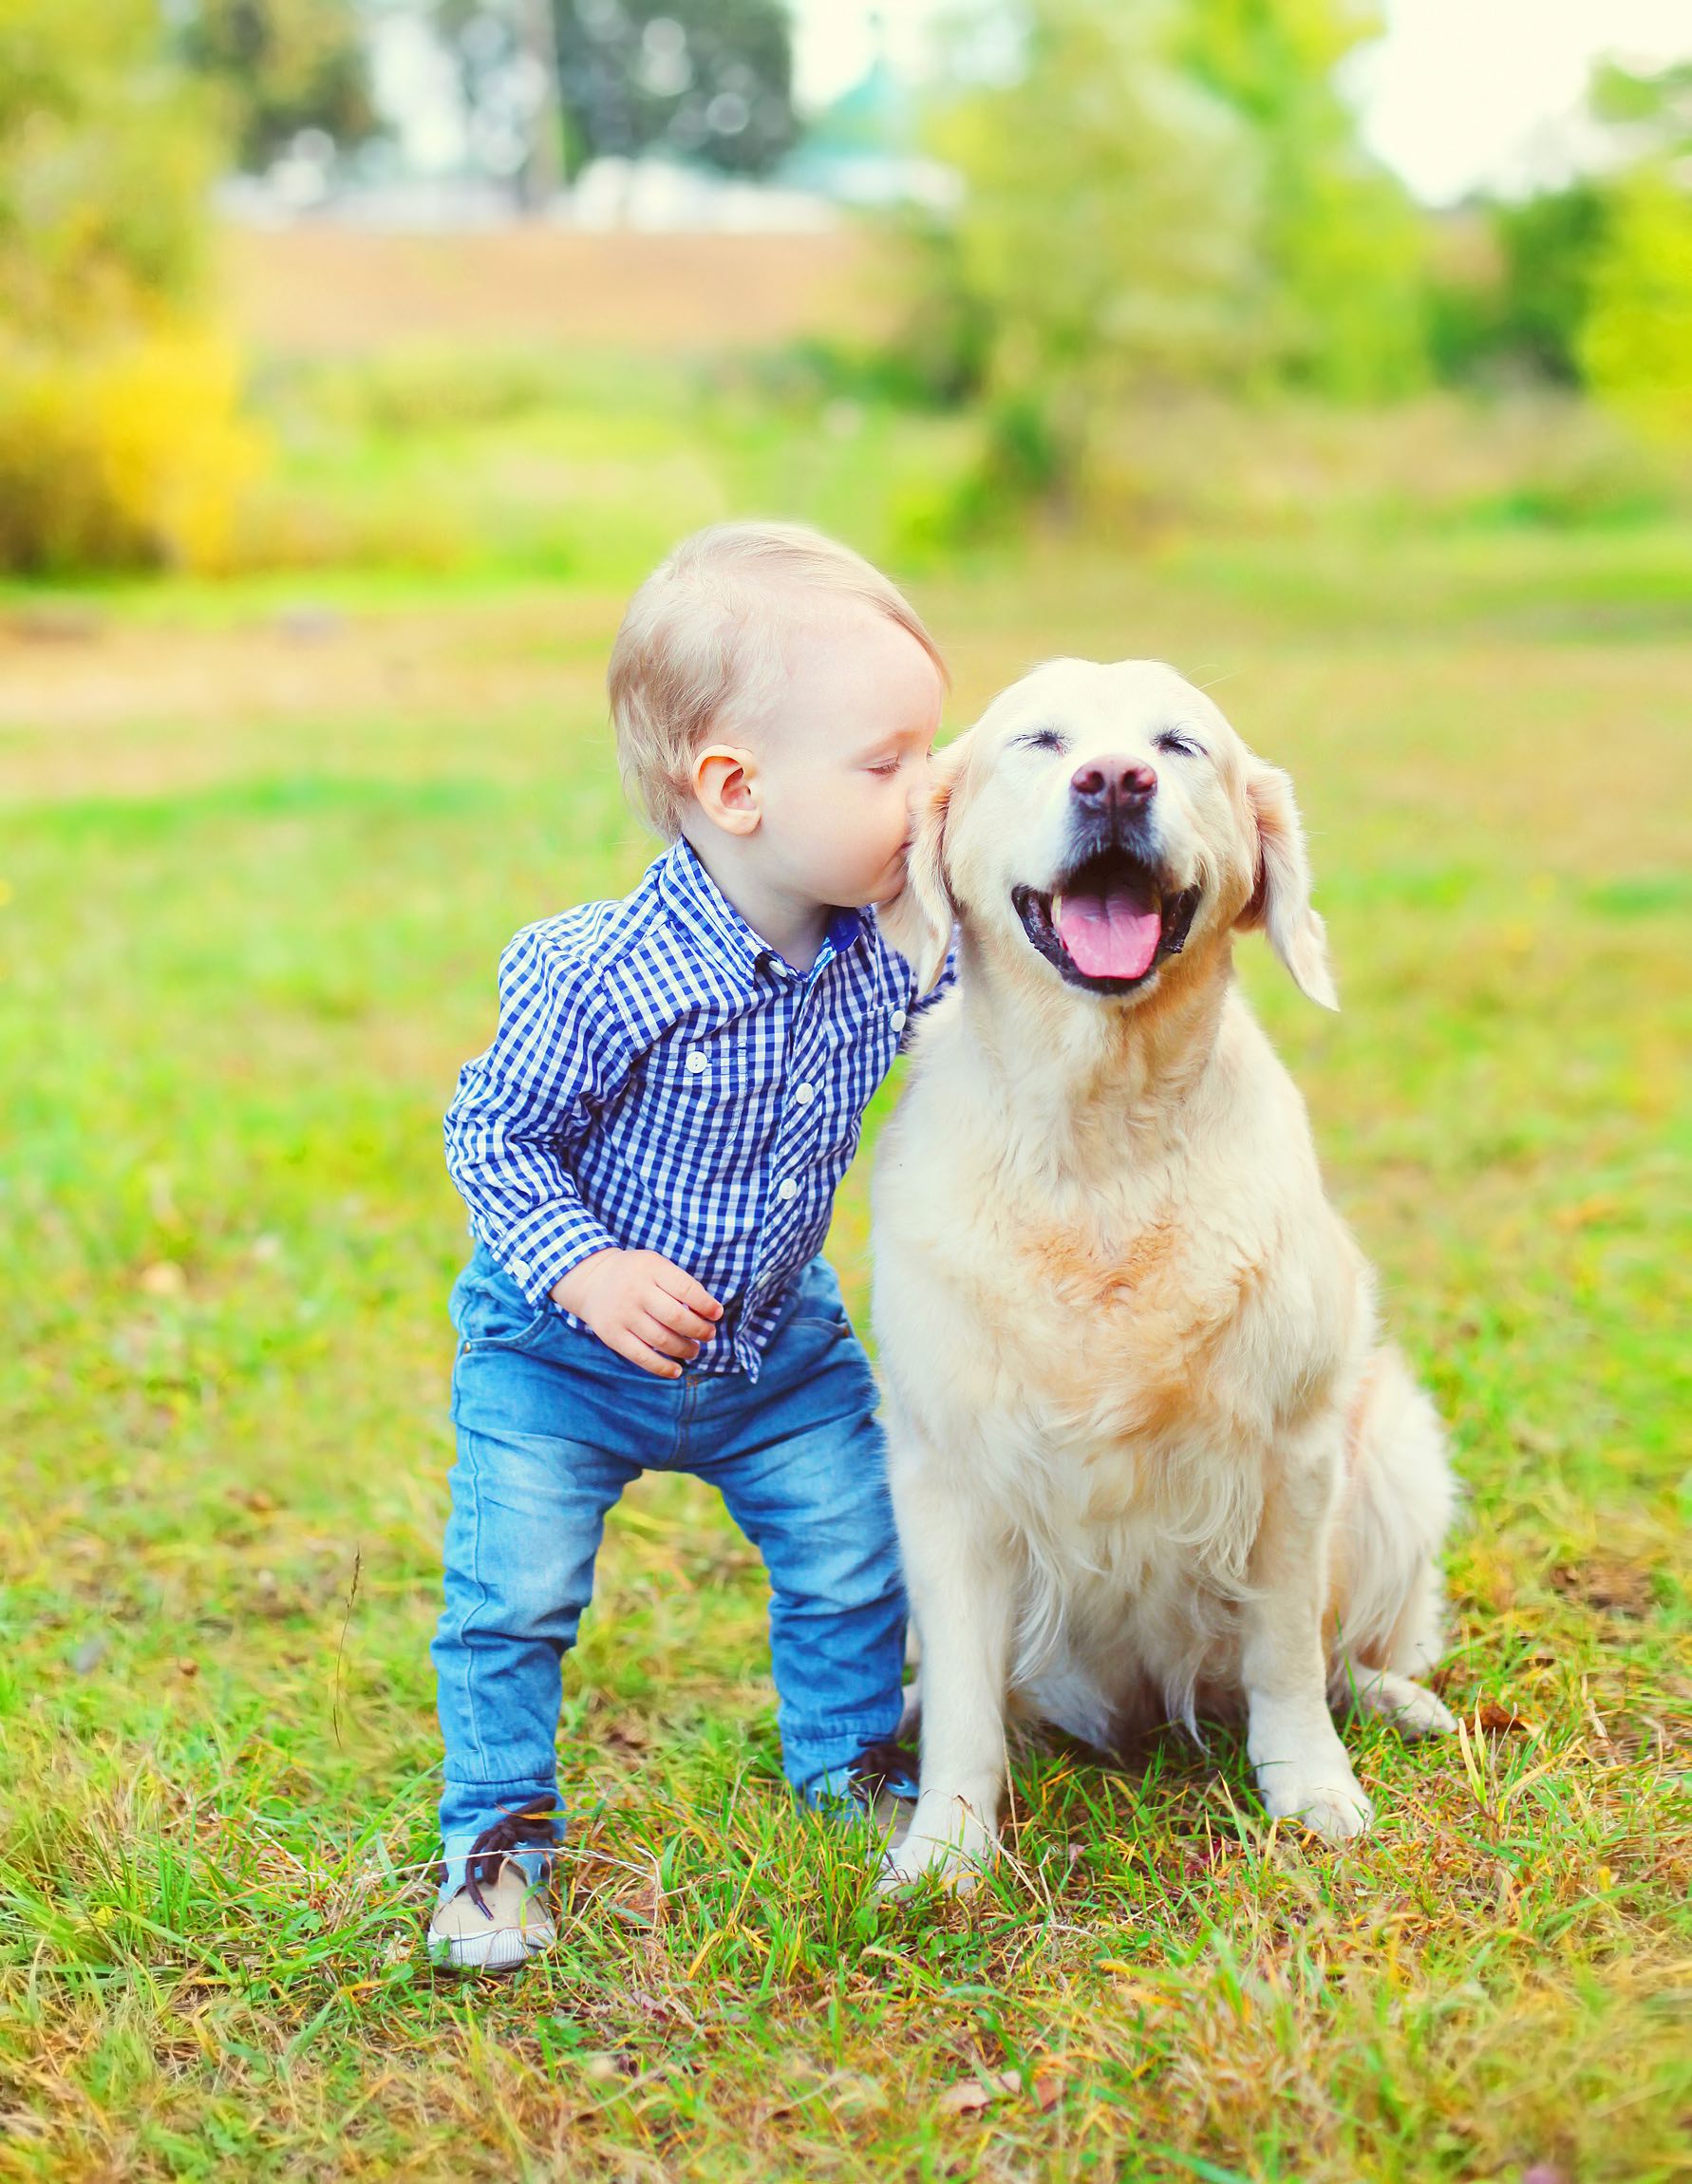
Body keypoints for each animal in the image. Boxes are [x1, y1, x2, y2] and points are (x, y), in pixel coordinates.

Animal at [873, 655, 1457, 1887]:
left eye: (1178, 745)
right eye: (1041, 740)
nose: (1114, 780)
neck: (1102, 1134)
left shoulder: (1292, 1451)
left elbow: (1285, 1652)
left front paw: (1311, 1785)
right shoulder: (944, 1468)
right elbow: (965, 1697)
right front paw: (945, 1848)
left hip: (1391, 1447)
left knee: (1347, 1648)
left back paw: (1399, 1699)